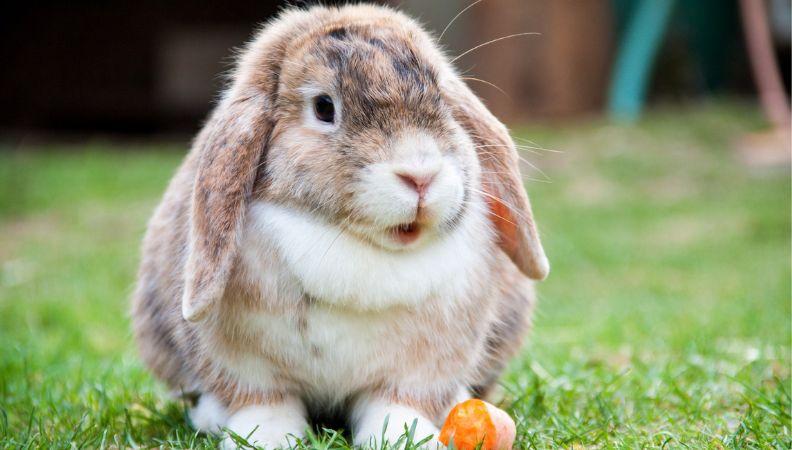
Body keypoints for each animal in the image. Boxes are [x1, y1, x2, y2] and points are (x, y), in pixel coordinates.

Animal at [131, 3, 549, 449]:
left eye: (440, 96)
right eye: (323, 107)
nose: (420, 175)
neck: (357, 245)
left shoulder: (420, 369)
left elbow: (396, 403)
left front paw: (403, 437)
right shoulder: (245, 366)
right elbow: (264, 401)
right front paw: (265, 438)